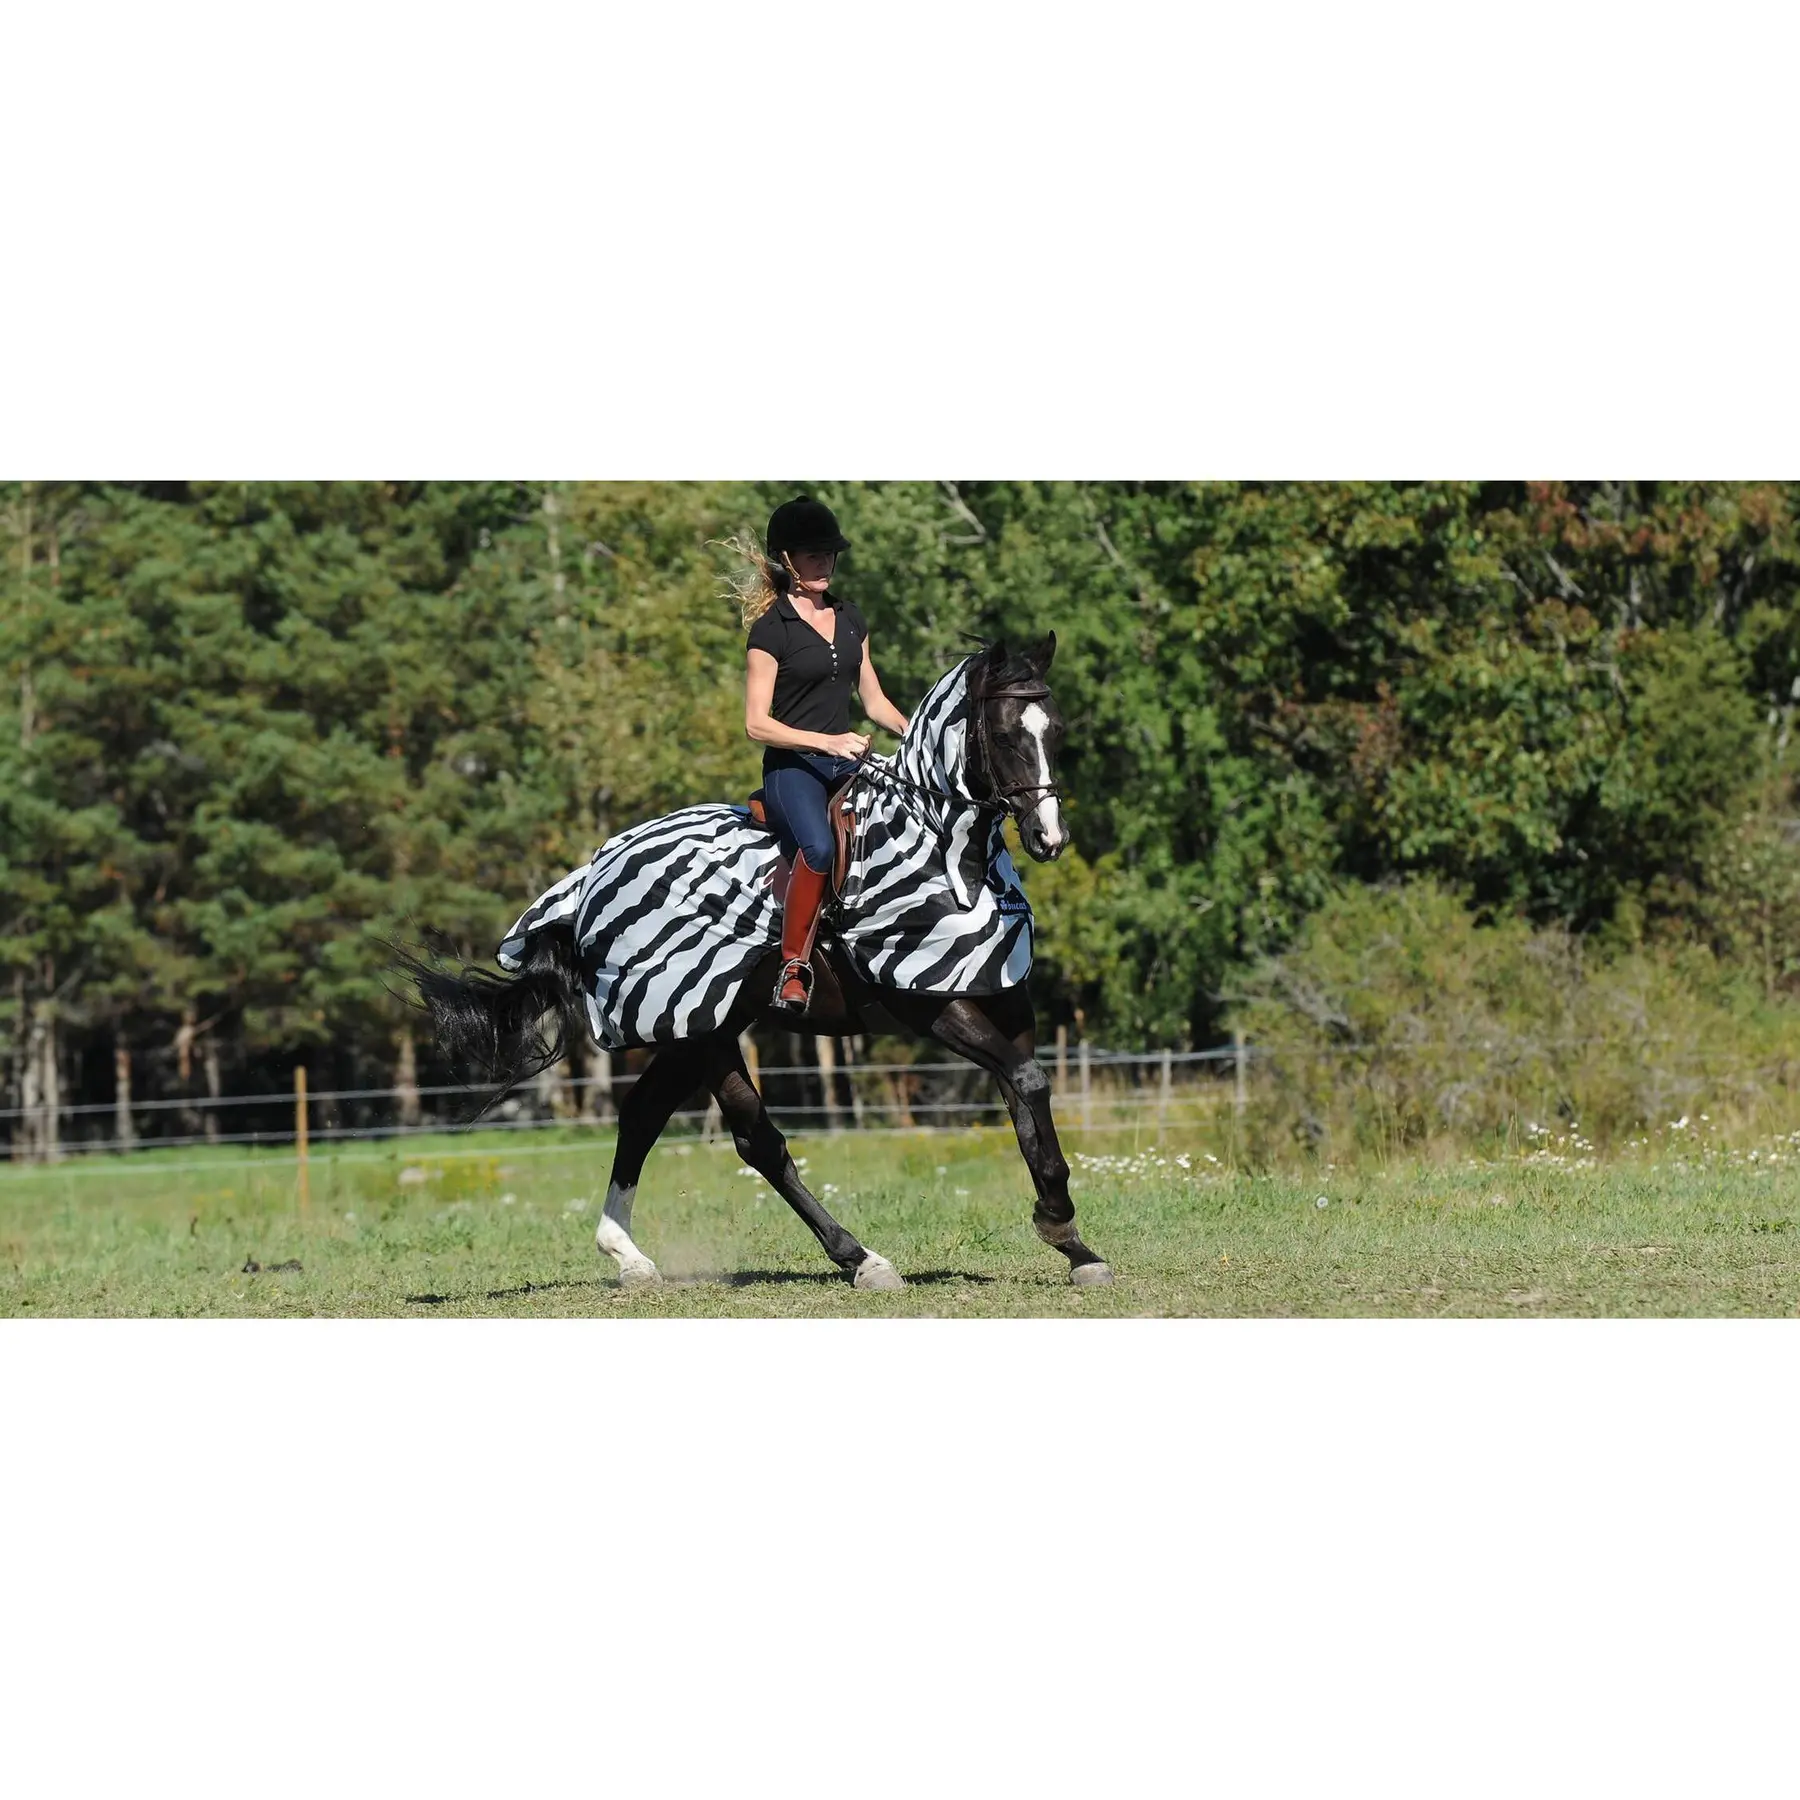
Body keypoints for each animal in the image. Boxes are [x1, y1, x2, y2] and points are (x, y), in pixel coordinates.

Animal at [397, 633, 1113, 1292]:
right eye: (1005, 732)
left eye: (1055, 729)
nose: (1050, 838)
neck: (943, 851)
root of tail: (592, 876)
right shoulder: (927, 1003)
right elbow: (1025, 1081)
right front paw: (1058, 1223)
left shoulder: (1003, 996)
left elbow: (1027, 1094)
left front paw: (1073, 1242)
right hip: (703, 1029)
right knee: (755, 1140)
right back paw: (861, 1259)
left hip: (696, 1026)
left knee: (644, 1116)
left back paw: (628, 1256)